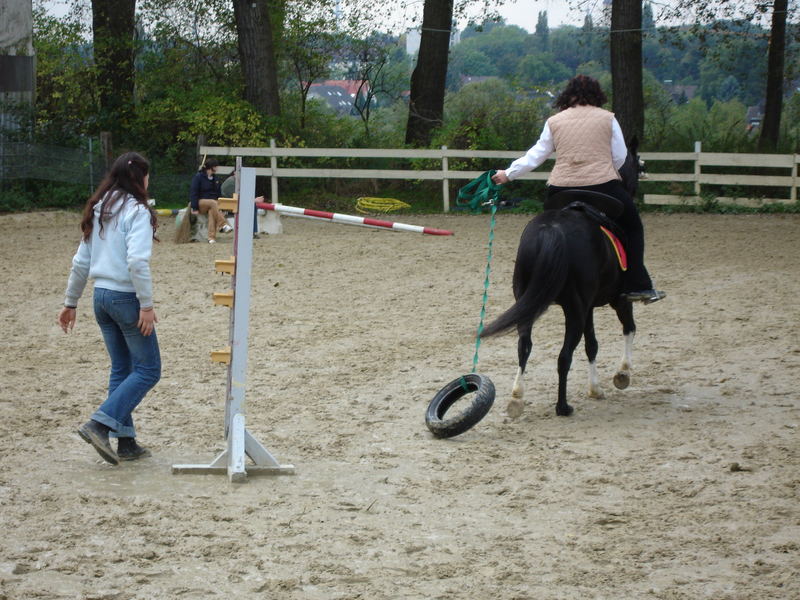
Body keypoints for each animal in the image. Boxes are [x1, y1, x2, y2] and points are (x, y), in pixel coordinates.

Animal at [482, 141, 644, 418]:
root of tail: (552, 230)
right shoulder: (617, 300)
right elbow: (627, 329)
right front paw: (621, 375)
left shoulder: (589, 307)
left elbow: (592, 344)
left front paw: (596, 388)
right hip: (575, 310)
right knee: (564, 355)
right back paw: (563, 407)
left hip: (531, 304)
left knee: (524, 346)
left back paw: (516, 399)